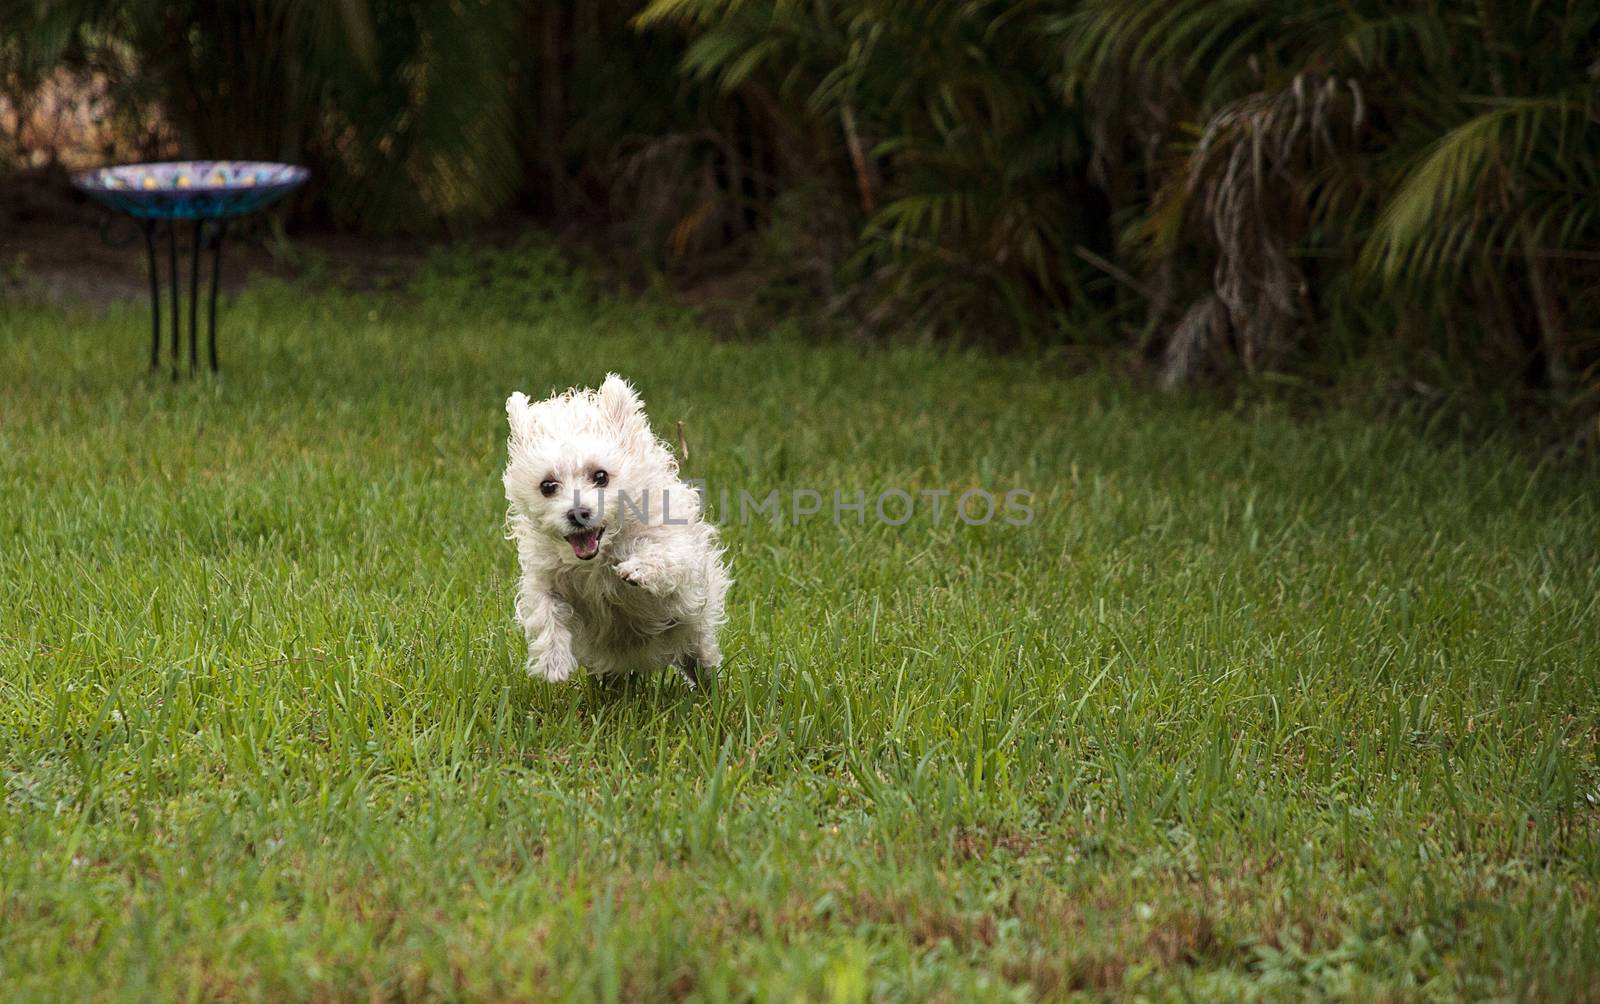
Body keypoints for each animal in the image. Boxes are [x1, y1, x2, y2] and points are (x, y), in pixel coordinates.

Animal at [499, 372, 732, 687]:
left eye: (601, 476)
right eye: (547, 485)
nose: (577, 513)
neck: (600, 556)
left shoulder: (680, 562)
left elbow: (667, 558)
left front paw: (638, 568)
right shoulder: (544, 578)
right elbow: (546, 609)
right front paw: (553, 662)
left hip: (694, 634)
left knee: (701, 658)